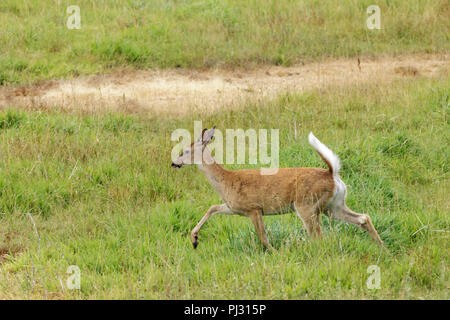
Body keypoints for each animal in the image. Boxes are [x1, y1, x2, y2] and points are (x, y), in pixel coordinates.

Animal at [171, 127, 384, 250]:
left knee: (318, 235)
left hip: (306, 205)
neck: (226, 181)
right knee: (363, 218)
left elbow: (263, 237)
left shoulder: (253, 208)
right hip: (333, 206)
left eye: (186, 151)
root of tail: (332, 173)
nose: (174, 163)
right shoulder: (235, 207)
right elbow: (212, 208)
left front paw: (273, 252)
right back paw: (382, 247)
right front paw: (194, 239)